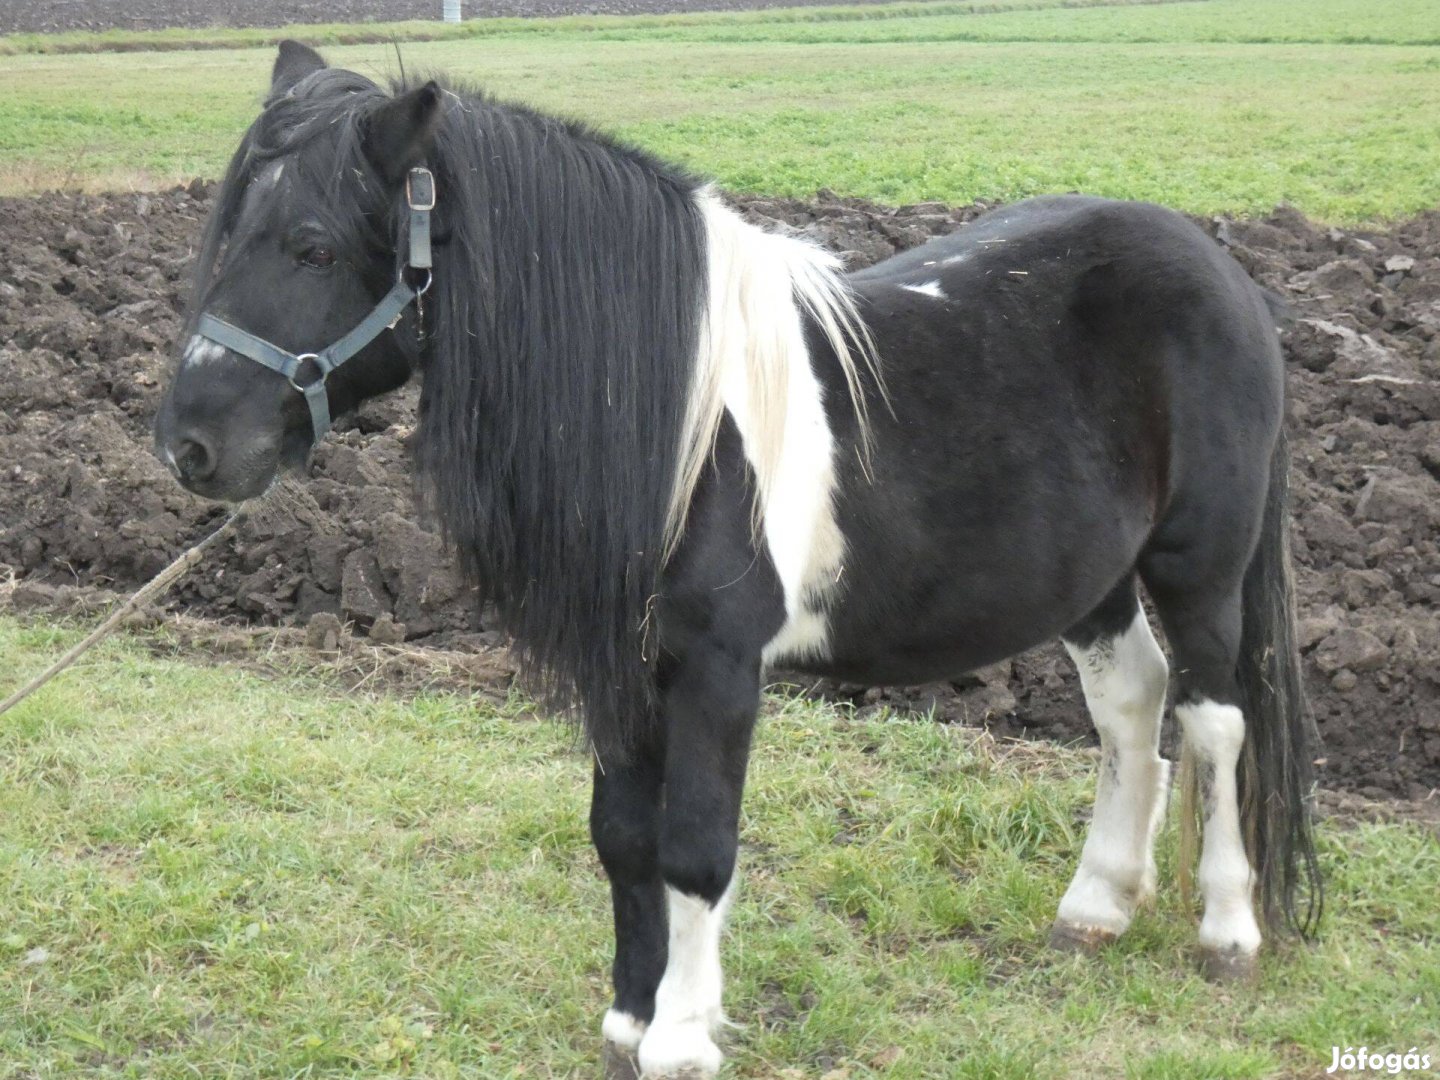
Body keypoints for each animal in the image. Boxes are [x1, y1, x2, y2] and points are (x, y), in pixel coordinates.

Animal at [154, 44, 1319, 1080]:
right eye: (227, 229)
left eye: (311, 245)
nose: (190, 445)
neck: (682, 426)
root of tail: (1214, 263)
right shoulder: (621, 668)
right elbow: (622, 836)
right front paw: (629, 1023)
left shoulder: (717, 667)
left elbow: (695, 848)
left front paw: (681, 1039)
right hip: (1091, 579)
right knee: (1131, 703)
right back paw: (1095, 906)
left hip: (1203, 564)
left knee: (1214, 721)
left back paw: (1227, 931)